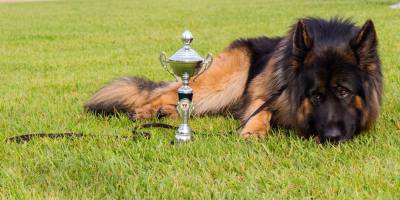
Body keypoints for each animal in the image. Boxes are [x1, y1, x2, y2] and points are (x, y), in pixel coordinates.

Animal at [86, 16, 382, 142]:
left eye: (343, 92)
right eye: (315, 95)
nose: (332, 138)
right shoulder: (263, 92)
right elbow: (260, 110)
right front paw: (253, 131)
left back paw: (166, 113)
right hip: (226, 82)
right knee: (165, 94)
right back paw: (146, 110)